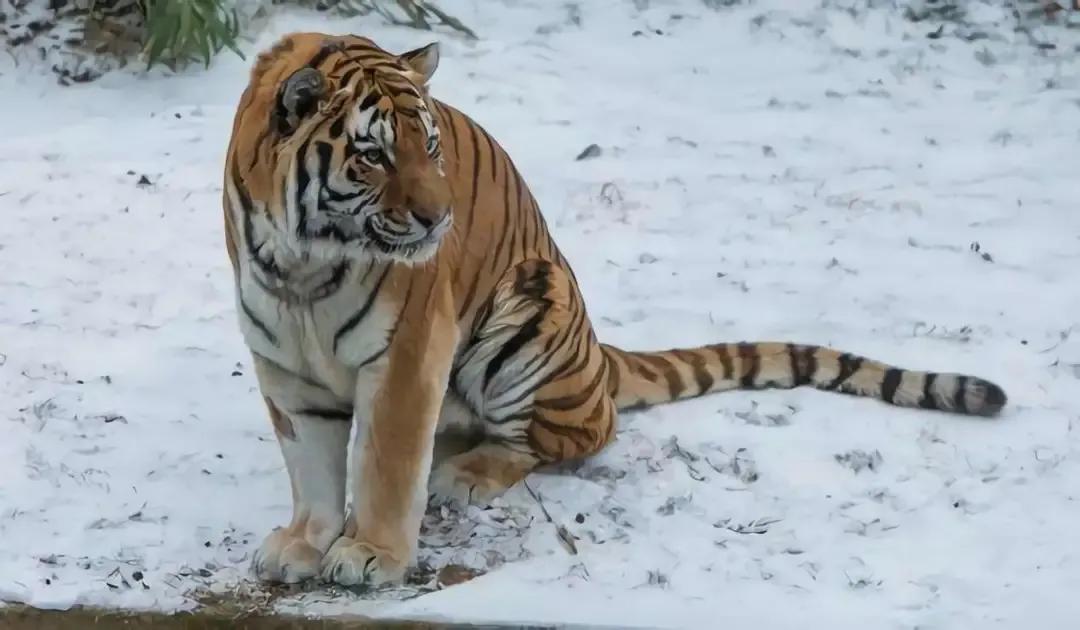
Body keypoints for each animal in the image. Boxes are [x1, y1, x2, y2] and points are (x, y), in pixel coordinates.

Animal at [222, 32, 1007, 588]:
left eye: (432, 146)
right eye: (374, 156)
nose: (439, 220)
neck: (304, 264)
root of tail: (599, 356)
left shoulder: (409, 351)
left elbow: (386, 463)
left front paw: (371, 554)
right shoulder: (284, 364)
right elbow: (312, 465)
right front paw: (304, 542)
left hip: (527, 311)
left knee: (568, 436)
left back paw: (466, 473)